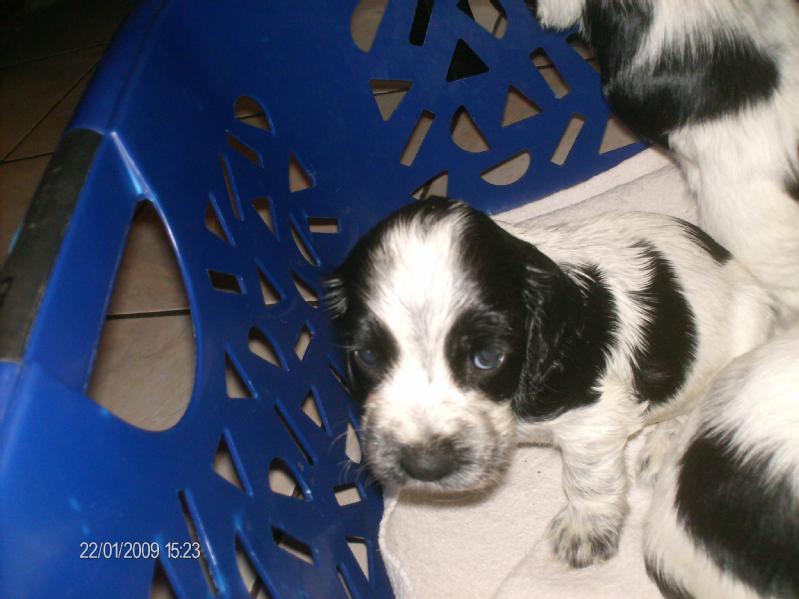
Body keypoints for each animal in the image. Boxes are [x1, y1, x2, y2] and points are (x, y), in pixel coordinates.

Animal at [326, 196, 774, 567]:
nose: (425, 465)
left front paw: (585, 531)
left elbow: (587, 478)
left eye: (487, 358)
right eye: (367, 356)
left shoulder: (593, 418)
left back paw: (663, 445)